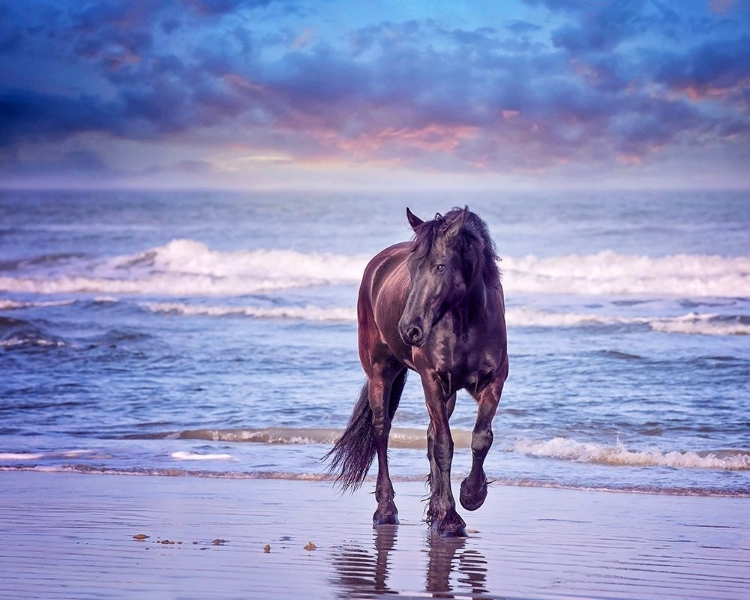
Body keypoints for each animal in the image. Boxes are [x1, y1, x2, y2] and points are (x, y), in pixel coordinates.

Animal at [326, 207, 508, 540]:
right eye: (412, 268)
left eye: (440, 266)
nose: (409, 329)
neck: (465, 322)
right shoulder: (432, 380)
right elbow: (444, 445)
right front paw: (451, 518)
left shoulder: (493, 382)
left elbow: (480, 439)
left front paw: (470, 496)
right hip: (380, 373)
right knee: (382, 430)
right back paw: (386, 510)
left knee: (430, 434)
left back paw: (434, 509)